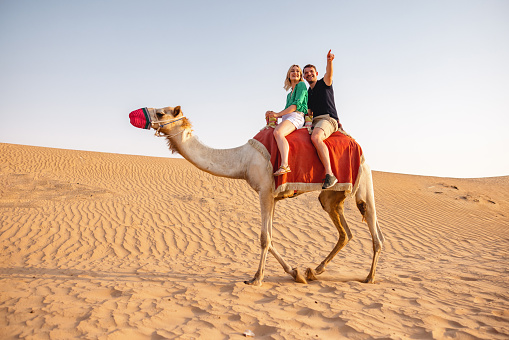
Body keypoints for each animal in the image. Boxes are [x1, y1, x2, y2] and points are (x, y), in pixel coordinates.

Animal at [133, 106, 382, 286]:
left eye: (161, 112)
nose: (136, 114)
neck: (242, 159)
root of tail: (360, 148)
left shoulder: (264, 191)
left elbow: (264, 238)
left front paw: (257, 279)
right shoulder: (271, 195)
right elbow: (269, 237)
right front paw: (295, 272)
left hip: (362, 181)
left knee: (373, 227)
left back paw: (369, 277)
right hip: (332, 196)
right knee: (345, 232)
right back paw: (315, 270)